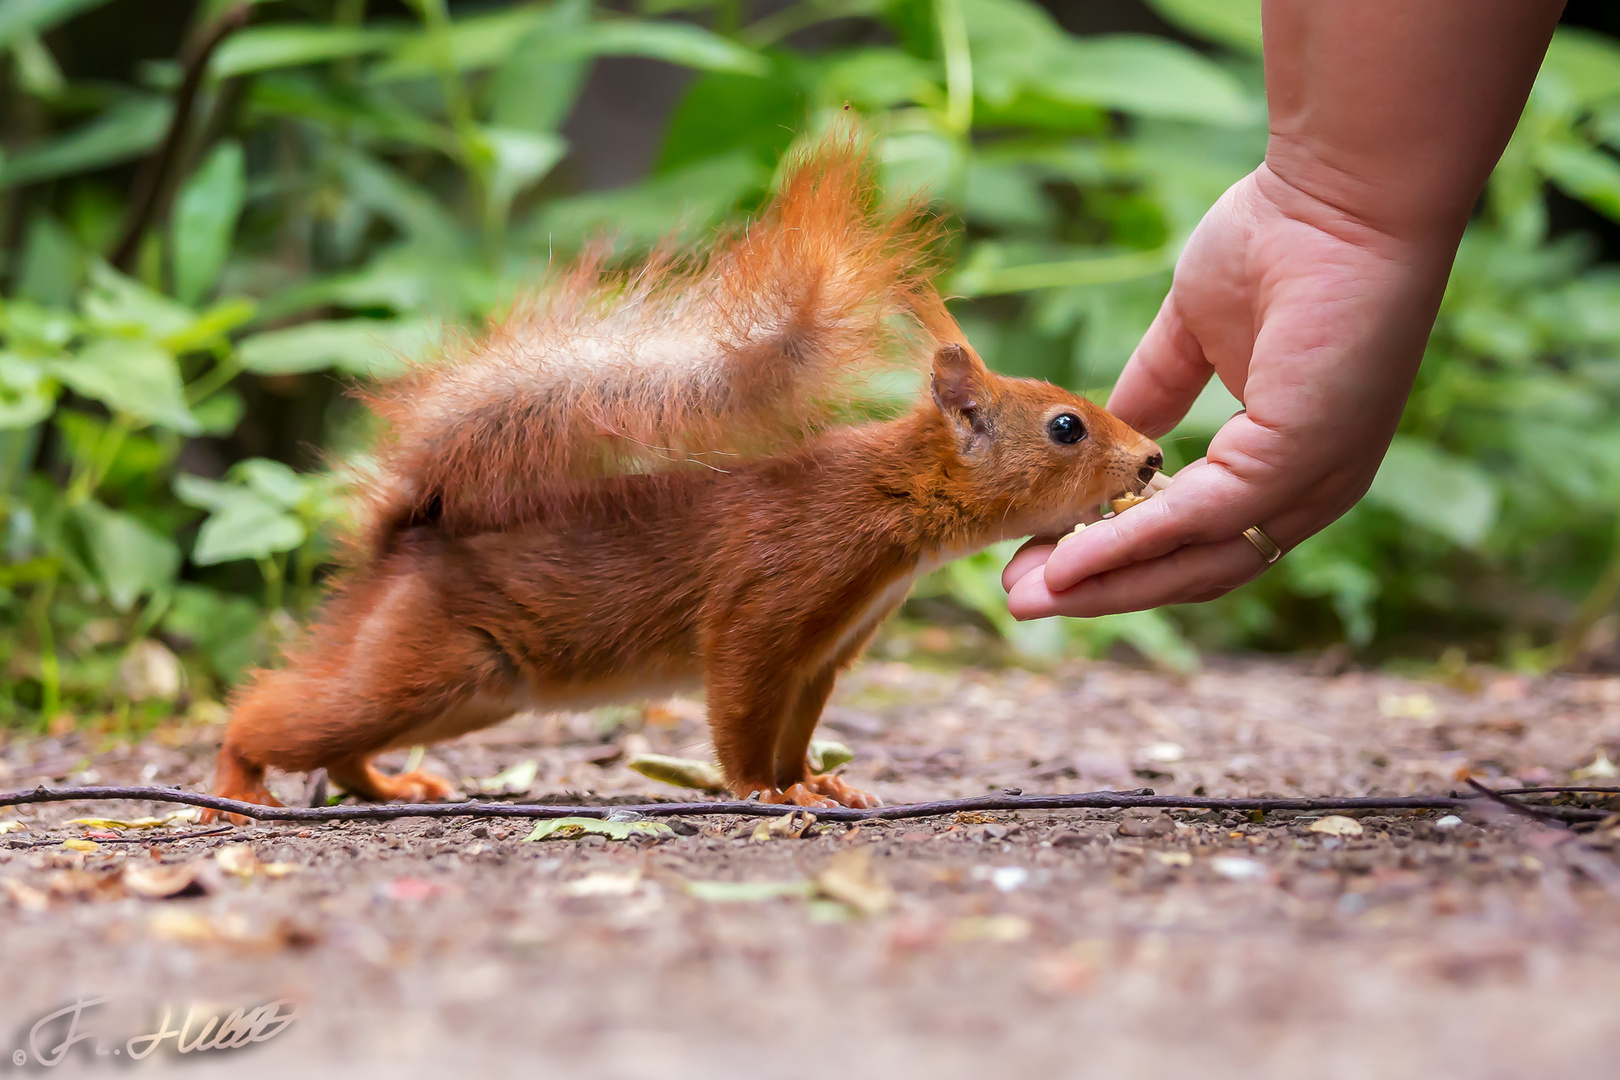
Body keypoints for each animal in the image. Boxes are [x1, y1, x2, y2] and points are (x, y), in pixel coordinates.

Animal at [205, 131, 1166, 816]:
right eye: (1066, 426)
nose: (1154, 459)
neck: (894, 505)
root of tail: (405, 541)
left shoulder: (826, 652)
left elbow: (796, 728)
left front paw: (819, 783)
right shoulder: (772, 602)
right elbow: (741, 708)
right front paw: (764, 793)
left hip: (471, 695)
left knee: (340, 749)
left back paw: (392, 787)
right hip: (419, 668)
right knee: (285, 718)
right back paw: (237, 784)